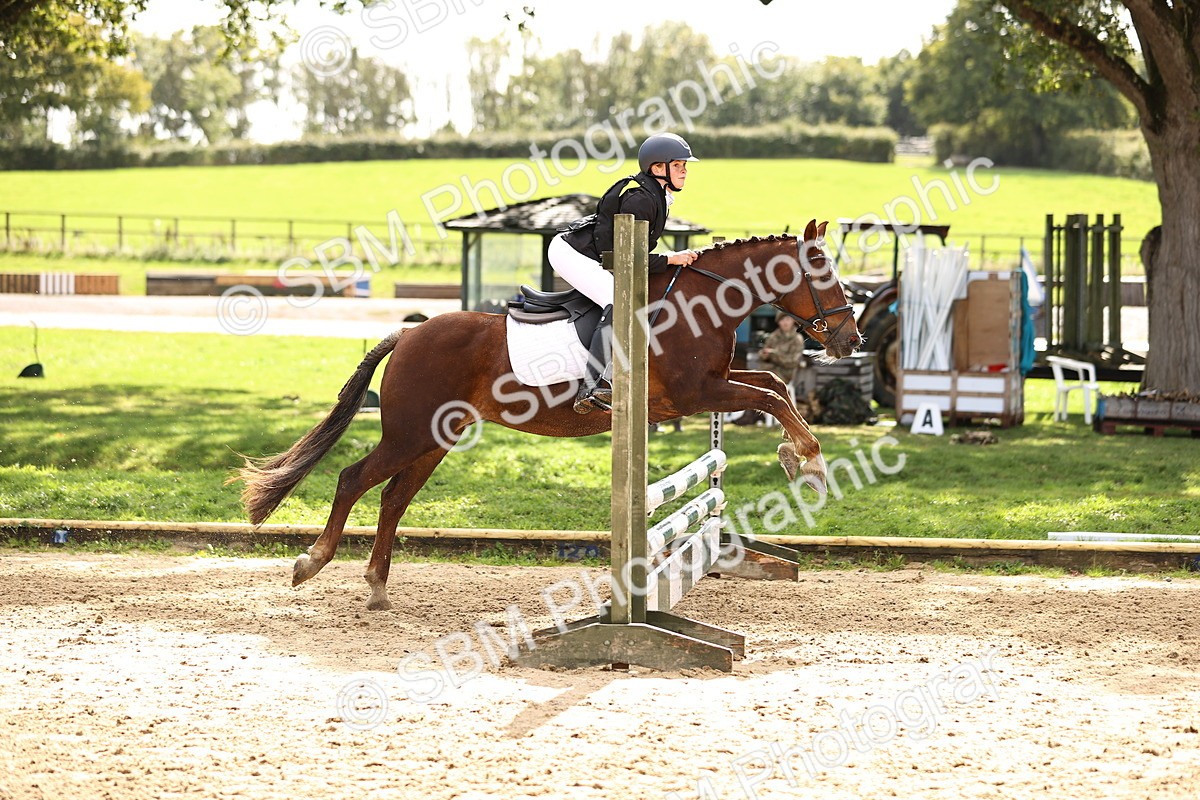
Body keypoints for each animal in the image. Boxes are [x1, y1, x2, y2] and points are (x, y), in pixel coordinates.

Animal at [234, 220, 861, 610]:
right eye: (822, 274)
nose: (850, 340)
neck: (702, 302)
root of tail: (409, 333)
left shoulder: (709, 389)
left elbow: (773, 386)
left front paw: (798, 456)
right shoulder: (696, 394)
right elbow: (771, 397)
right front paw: (808, 463)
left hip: (436, 439)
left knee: (391, 497)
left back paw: (378, 587)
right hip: (410, 433)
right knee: (352, 479)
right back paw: (312, 563)